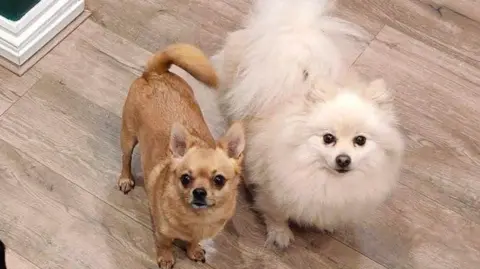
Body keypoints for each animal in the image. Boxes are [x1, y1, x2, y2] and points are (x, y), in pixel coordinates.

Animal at [116, 43, 244, 266]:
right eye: (185, 178)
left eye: (219, 180)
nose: (199, 192)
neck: (197, 219)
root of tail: (155, 73)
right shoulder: (163, 233)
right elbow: (165, 244)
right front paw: (166, 258)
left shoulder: (198, 234)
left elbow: (193, 241)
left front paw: (193, 251)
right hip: (128, 136)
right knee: (126, 158)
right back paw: (125, 179)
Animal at [184, 0, 404, 247]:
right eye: (328, 138)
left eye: (360, 140)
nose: (343, 159)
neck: (326, 179)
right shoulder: (274, 188)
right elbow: (276, 213)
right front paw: (280, 234)